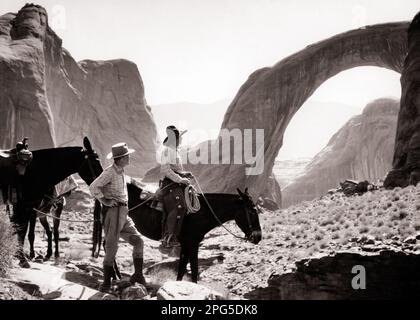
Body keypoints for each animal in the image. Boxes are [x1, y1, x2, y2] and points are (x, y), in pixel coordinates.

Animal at [126, 182, 260, 282]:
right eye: (252, 212)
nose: (258, 236)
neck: (201, 213)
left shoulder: (185, 244)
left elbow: (182, 268)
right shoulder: (193, 243)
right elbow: (194, 268)